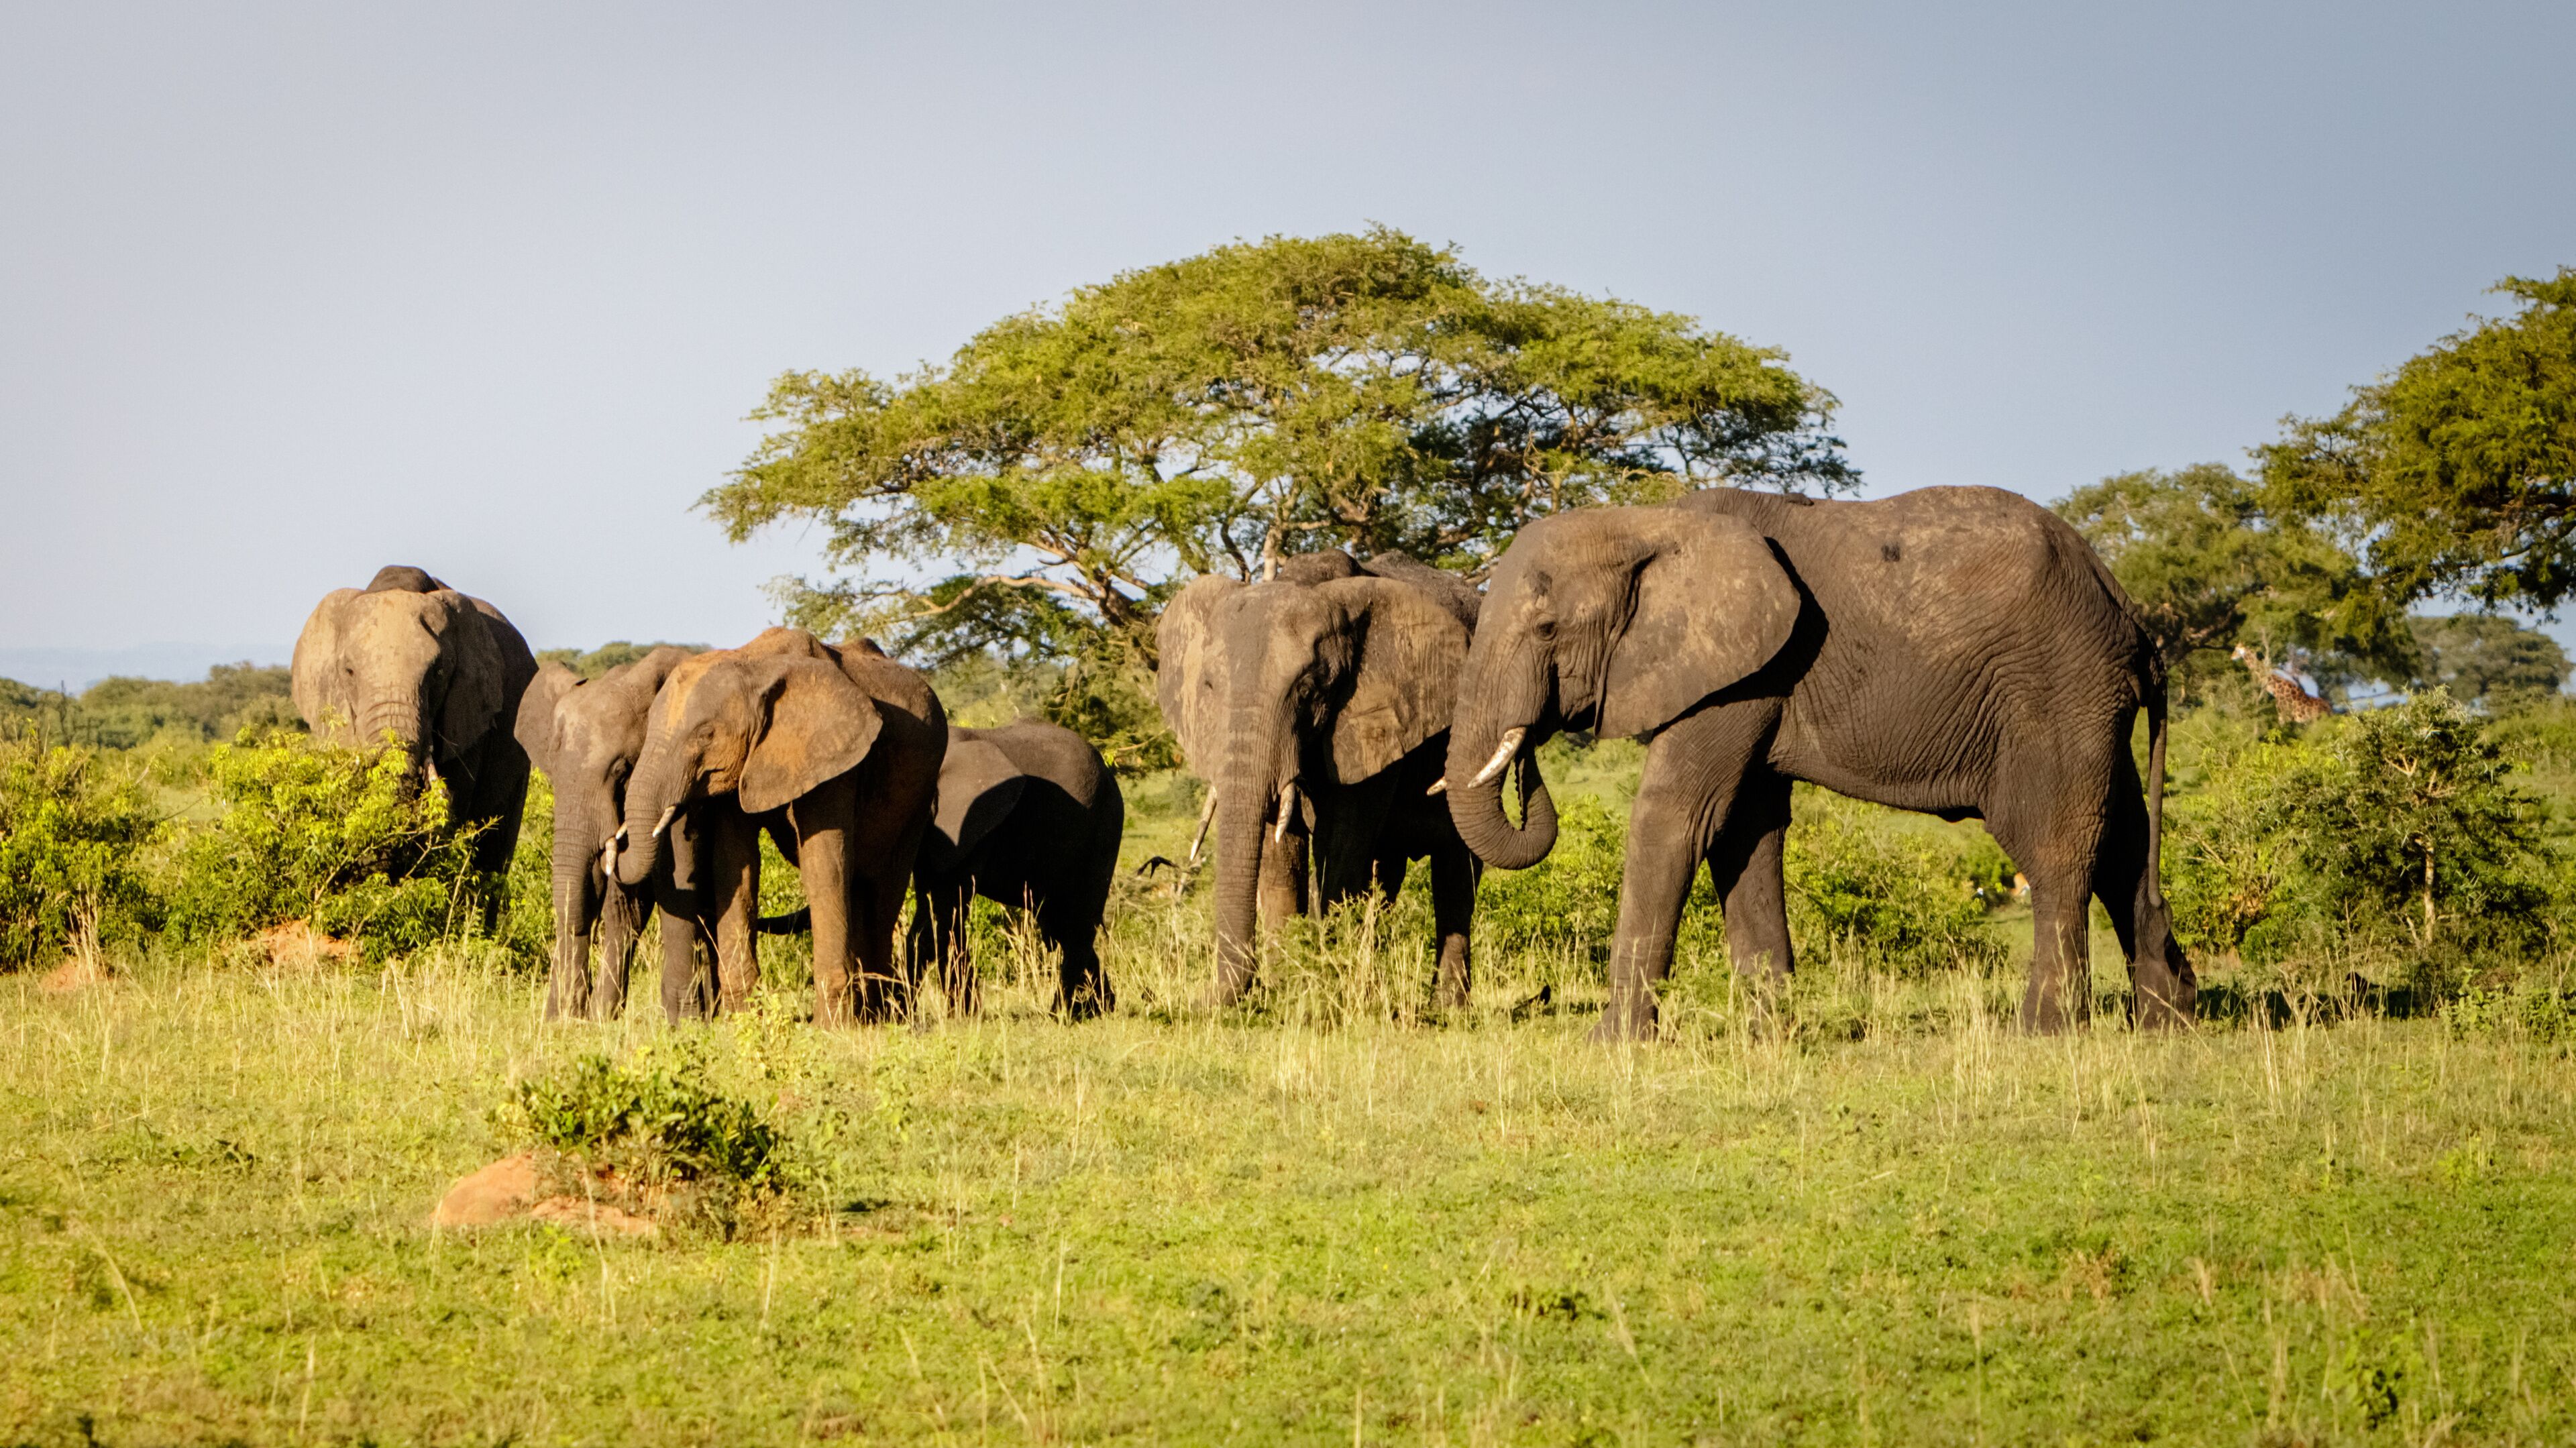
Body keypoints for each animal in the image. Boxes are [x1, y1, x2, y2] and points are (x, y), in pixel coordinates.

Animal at [612, 628, 946, 1025]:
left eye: (706, 734)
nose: (613, 846)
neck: (755, 665)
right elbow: (736, 867)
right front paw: (744, 1022)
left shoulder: (835, 755)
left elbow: (824, 866)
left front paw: (831, 1029)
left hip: (920, 794)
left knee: (885, 886)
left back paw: (883, 1016)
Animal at [906, 720, 1125, 1020]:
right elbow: (930, 912)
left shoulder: (974, 826)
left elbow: (944, 914)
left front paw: (960, 1016)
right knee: (1059, 925)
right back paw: (1099, 1009)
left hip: (1104, 826)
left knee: (1077, 922)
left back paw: (1062, 1014)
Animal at [1157, 548, 1484, 1008]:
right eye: (1209, 687)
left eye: (1309, 692)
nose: (1198, 1001)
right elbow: (1279, 851)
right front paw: (1287, 990)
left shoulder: (1375, 717)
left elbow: (1340, 846)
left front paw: (1320, 991)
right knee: (1387, 876)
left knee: (1456, 873)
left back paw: (1447, 1008)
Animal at [1442, 485, 2192, 1039]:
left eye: (1547, 629)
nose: (1526, 751)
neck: (1648, 522)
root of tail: (2129, 612)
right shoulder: (1751, 675)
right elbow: (1743, 829)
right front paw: (1768, 1034)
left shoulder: (1741, 671)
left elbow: (1677, 817)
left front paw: (1613, 1042)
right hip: (2089, 700)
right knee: (2124, 841)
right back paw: (2169, 1020)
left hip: (2056, 689)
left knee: (2056, 845)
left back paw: (2042, 1030)